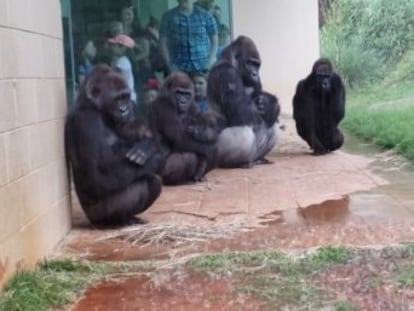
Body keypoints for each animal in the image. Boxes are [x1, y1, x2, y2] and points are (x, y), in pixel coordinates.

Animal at [64, 64, 165, 228]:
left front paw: (148, 146)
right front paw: (155, 157)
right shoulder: (86, 120)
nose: (125, 110)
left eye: (125, 97)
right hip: (96, 216)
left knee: (154, 181)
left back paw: (131, 218)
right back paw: (116, 222)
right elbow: (99, 175)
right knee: (144, 183)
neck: (92, 105)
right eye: (117, 99)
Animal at [207, 34, 278, 168]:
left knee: (273, 123)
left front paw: (272, 104)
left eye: (257, 65)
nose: (255, 74)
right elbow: (245, 113)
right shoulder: (226, 73)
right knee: (244, 131)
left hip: (254, 154)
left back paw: (259, 159)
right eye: (249, 63)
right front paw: (269, 105)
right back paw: (237, 163)